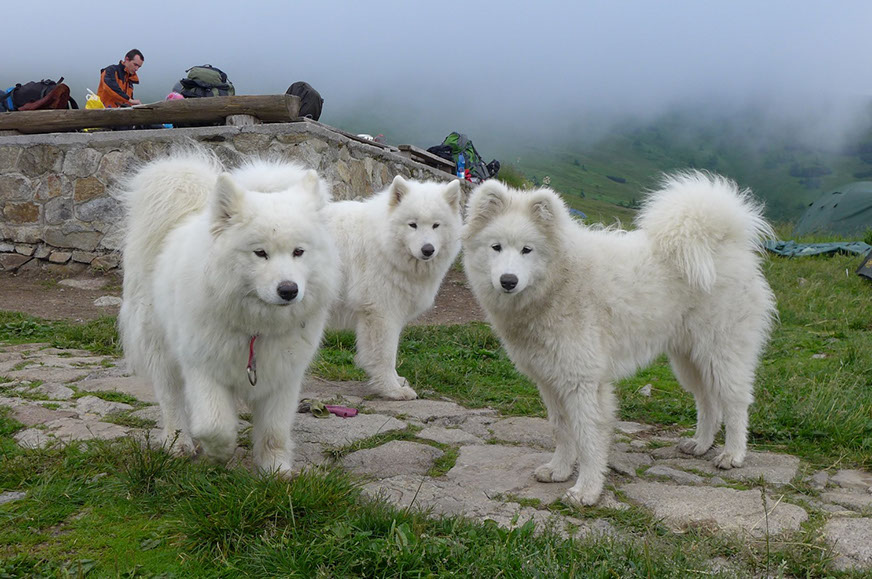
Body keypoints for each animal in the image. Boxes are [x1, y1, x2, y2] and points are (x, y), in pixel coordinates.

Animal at [118, 149, 339, 475]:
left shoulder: (284, 376)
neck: (255, 329)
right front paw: (218, 454)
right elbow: (214, 424)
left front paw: (276, 469)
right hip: (161, 348)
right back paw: (178, 443)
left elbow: (274, 430)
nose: (289, 290)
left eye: (299, 252)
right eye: (260, 253)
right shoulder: (202, 367)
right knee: (171, 399)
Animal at [324, 175, 463, 400]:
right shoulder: (381, 313)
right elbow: (385, 355)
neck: (382, 244)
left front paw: (398, 381)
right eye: (412, 225)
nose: (428, 250)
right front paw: (392, 389)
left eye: (436, 225)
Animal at [462, 172, 775, 506]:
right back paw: (700, 444)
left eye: (527, 250)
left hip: (721, 352)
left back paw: (733, 454)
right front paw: (558, 470)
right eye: (496, 247)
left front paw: (586, 490)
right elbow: (561, 429)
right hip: (689, 359)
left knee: (735, 402)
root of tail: (726, 241)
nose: (508, 281)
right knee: (707, 401)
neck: (559, 282)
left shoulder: (583, 381)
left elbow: (588, 438)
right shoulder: (550, 380)